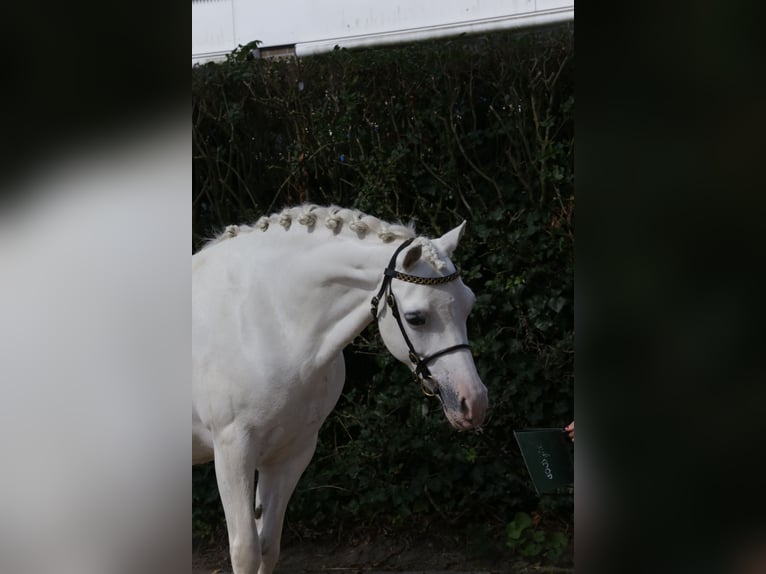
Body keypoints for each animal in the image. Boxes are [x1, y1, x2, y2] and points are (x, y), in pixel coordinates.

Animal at [195, 206, 488, 574]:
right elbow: (246, 551)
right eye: (416, 318)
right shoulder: (233, 450)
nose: (473, 402)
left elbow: (269, 547)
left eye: (469, 305)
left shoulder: (291, 452)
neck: (267, 320)